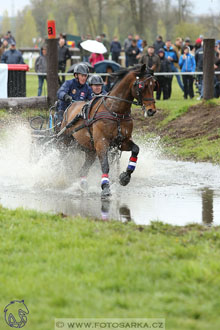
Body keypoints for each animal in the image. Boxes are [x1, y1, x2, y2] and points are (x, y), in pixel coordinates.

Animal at [59, 64, 157, 197]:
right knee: (64, 161)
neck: (116, 111)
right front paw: (105, 186)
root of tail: (70, 106)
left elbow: (136, 150)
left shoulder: (122, 141)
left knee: (83, 169)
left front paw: (125, 177)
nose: (151, 110)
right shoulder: (102, 142)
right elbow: (105, 165)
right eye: (142, 86)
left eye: (154, 85)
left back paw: (82, 184)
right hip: (66, 142)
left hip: (90, 150)